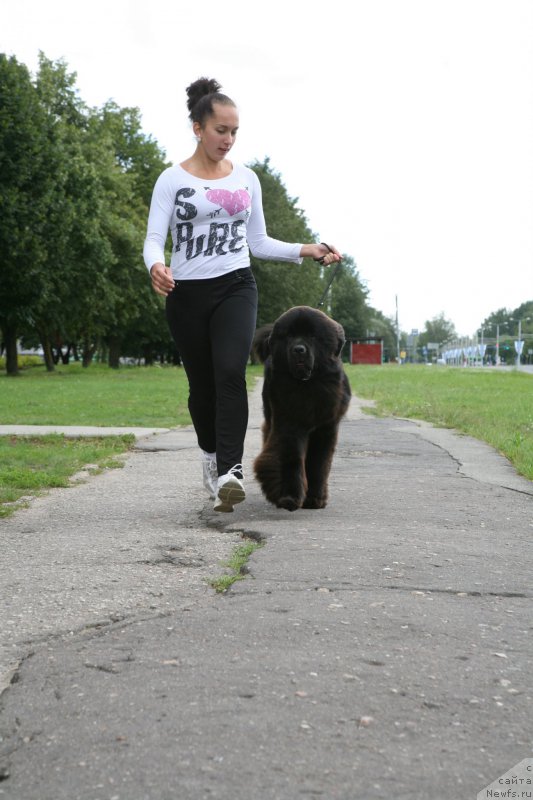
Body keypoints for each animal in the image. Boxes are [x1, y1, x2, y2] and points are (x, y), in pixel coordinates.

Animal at [252, 306, 352, 512]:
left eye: (312, 336)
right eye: (289, 336)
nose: (299, 349)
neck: (307, 384)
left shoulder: (326, 428)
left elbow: (319, 463)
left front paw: (315, 499)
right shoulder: (288, 423)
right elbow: (290, 456)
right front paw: (289, 497)